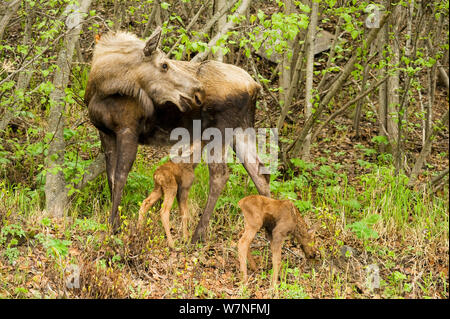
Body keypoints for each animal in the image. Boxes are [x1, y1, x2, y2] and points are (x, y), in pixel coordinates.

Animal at [85, 27, 270, 242]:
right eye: (164, 65)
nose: (198, 91)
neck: (100, 86)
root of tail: (254, 87)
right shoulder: (105, 132)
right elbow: (111, 177)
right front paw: (114, 223)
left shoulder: (128, 130)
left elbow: (121, 176)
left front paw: (113, 227)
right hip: (241, 129)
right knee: (260, 173)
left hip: (219, 130)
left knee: (220, 175)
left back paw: (198, 234)